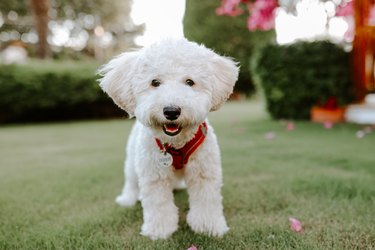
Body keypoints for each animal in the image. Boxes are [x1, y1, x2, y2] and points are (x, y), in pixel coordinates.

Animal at [97, 38, 238, 239]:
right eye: (155, 82)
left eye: (190, 82)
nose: (171, 111)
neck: (175, 144)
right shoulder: (154, 175)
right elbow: (159, 204)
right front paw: (159, 230)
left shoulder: (204, 172)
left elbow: (206, 200)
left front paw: (208, 226)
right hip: (132, 161)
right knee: (131, 181)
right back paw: (127, 199)